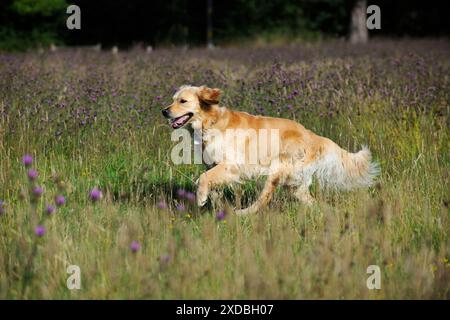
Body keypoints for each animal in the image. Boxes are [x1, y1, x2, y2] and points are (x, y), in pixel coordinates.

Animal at [163, 85, 380, 215]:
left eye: (182, 101)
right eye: (172, 99)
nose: (164, 111)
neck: (211, 122)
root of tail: (314, 136)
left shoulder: (232, 165)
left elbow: (203, 178)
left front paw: (200, 198)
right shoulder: (214, 165)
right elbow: (210, 182)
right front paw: (214, 204)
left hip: (277, 170)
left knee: (264, 199)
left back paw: (243, 213)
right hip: (295, 185)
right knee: (310, 200)